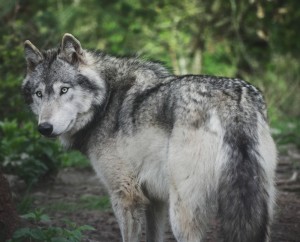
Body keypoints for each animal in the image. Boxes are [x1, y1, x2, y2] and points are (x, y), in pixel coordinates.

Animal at [22, 33, 278, 241]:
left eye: (64, 90)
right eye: (39, 94)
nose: (44, 128)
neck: (106, 101)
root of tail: (232, 100)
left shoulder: (125, 197)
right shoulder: (155, 199)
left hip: (182, 214)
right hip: (258, 207)